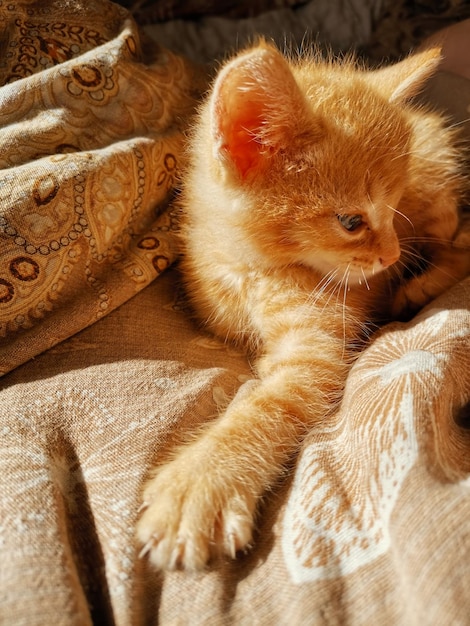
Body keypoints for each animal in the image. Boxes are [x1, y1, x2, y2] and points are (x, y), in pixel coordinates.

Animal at [137, 41, 470, 568]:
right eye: (352, 222)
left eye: (394, 206)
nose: (391, 255)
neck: (251, 271)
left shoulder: (315, 349)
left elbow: (270, 405)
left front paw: (203, 481)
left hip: (437, 199)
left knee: (463, 243)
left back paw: (417, 288)